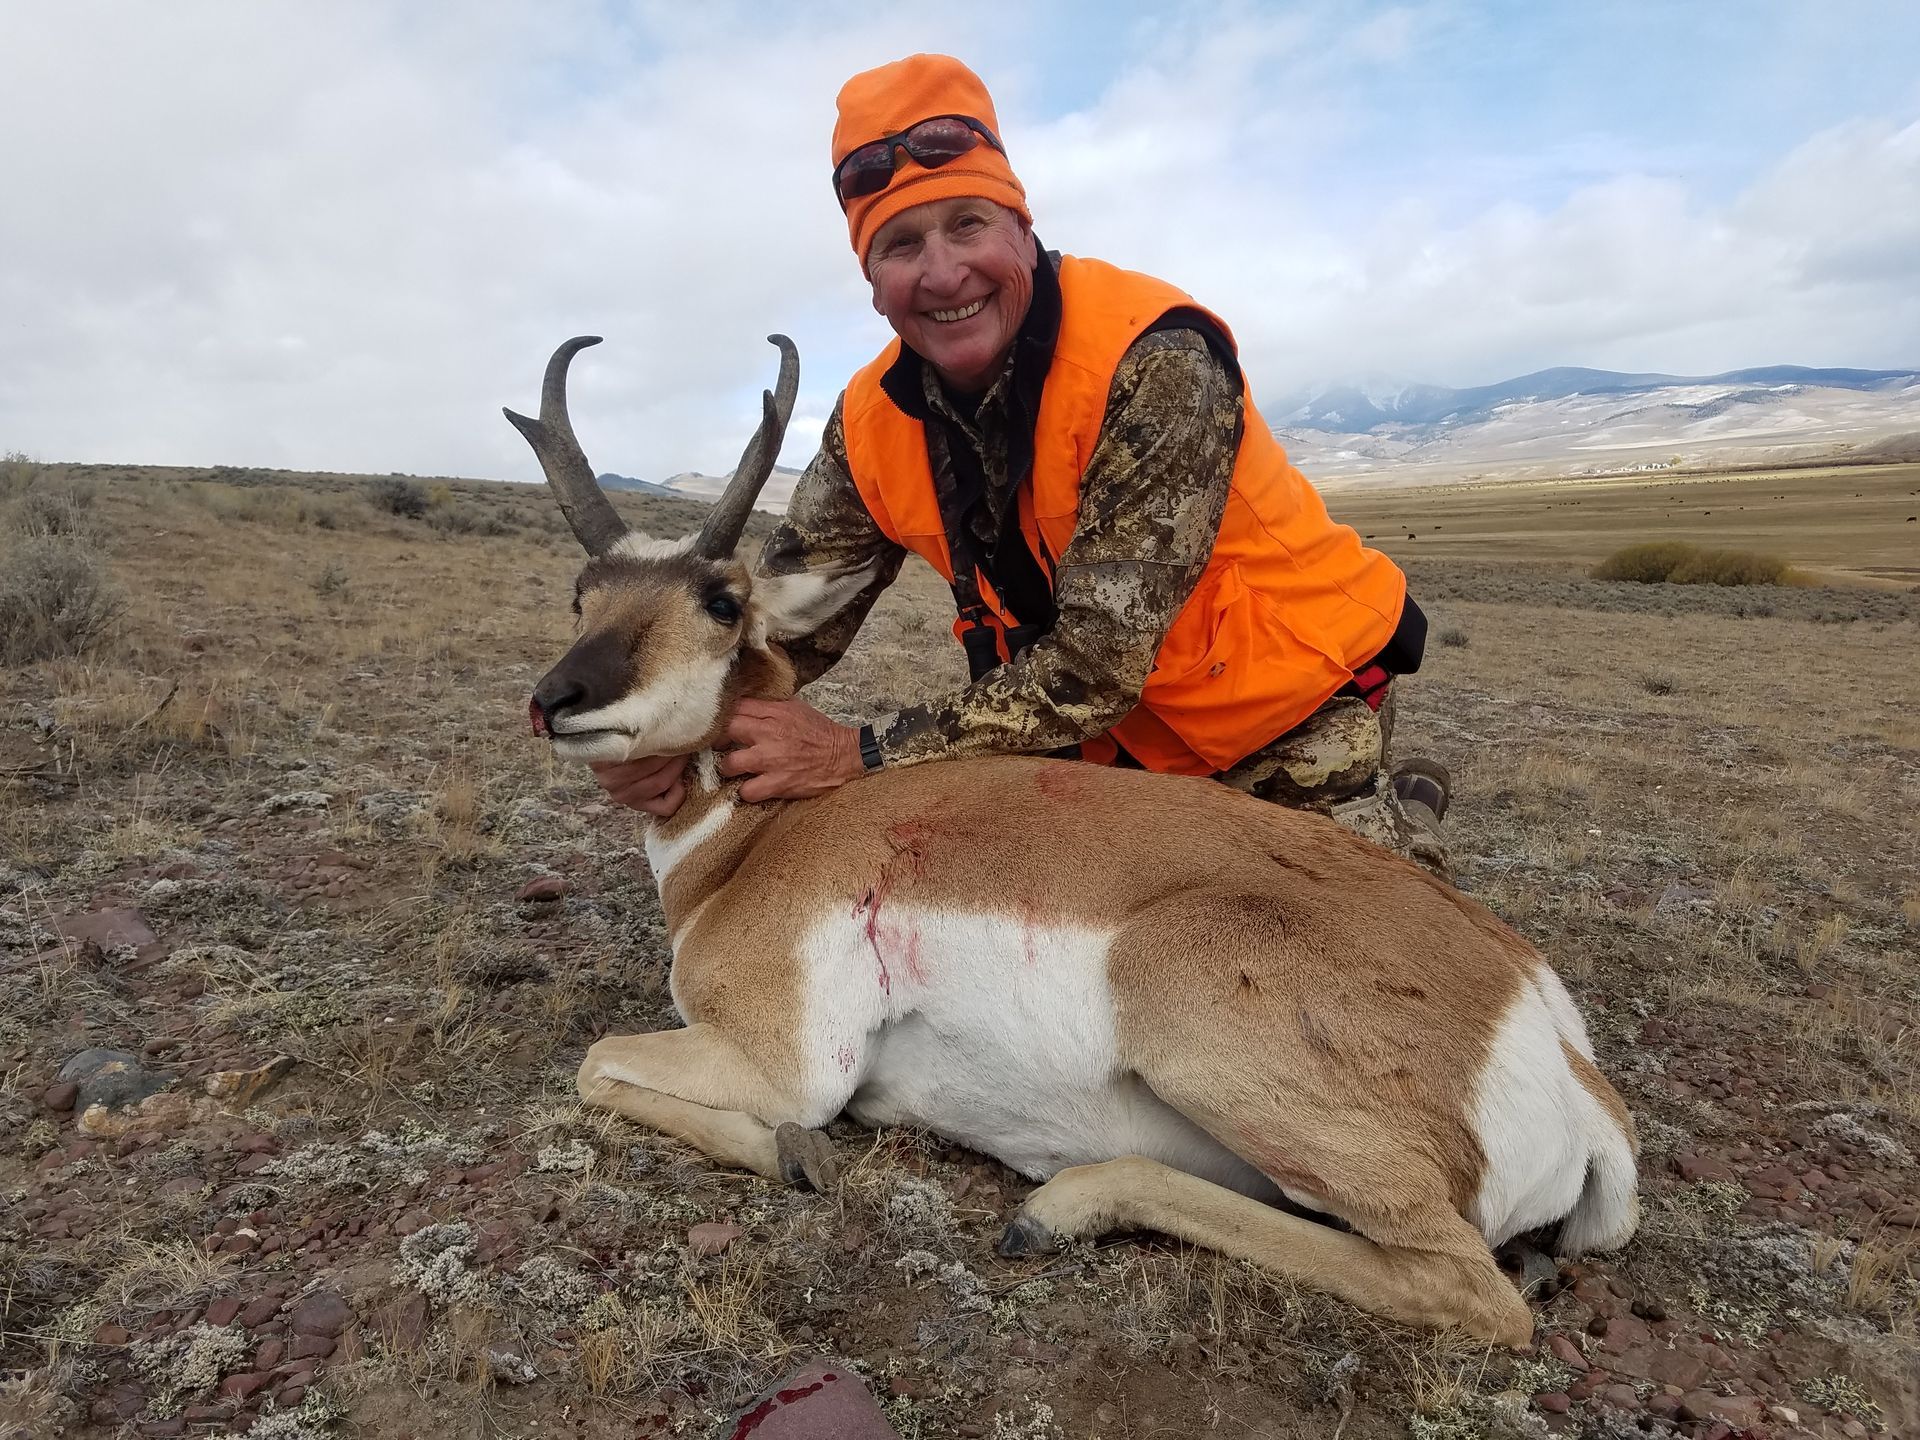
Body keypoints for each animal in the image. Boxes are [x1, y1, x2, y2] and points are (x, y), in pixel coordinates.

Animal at [509, 335, 1639, 1347]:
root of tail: (1547, 1033)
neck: (763, 837)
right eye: (581, 593)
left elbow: (596, 1065)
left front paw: (795, 1155)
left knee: (1467, 1289)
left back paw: (1057, 1208)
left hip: (1194, 1010)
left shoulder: (785, 1062)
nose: (557, 699)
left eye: (721, 599)